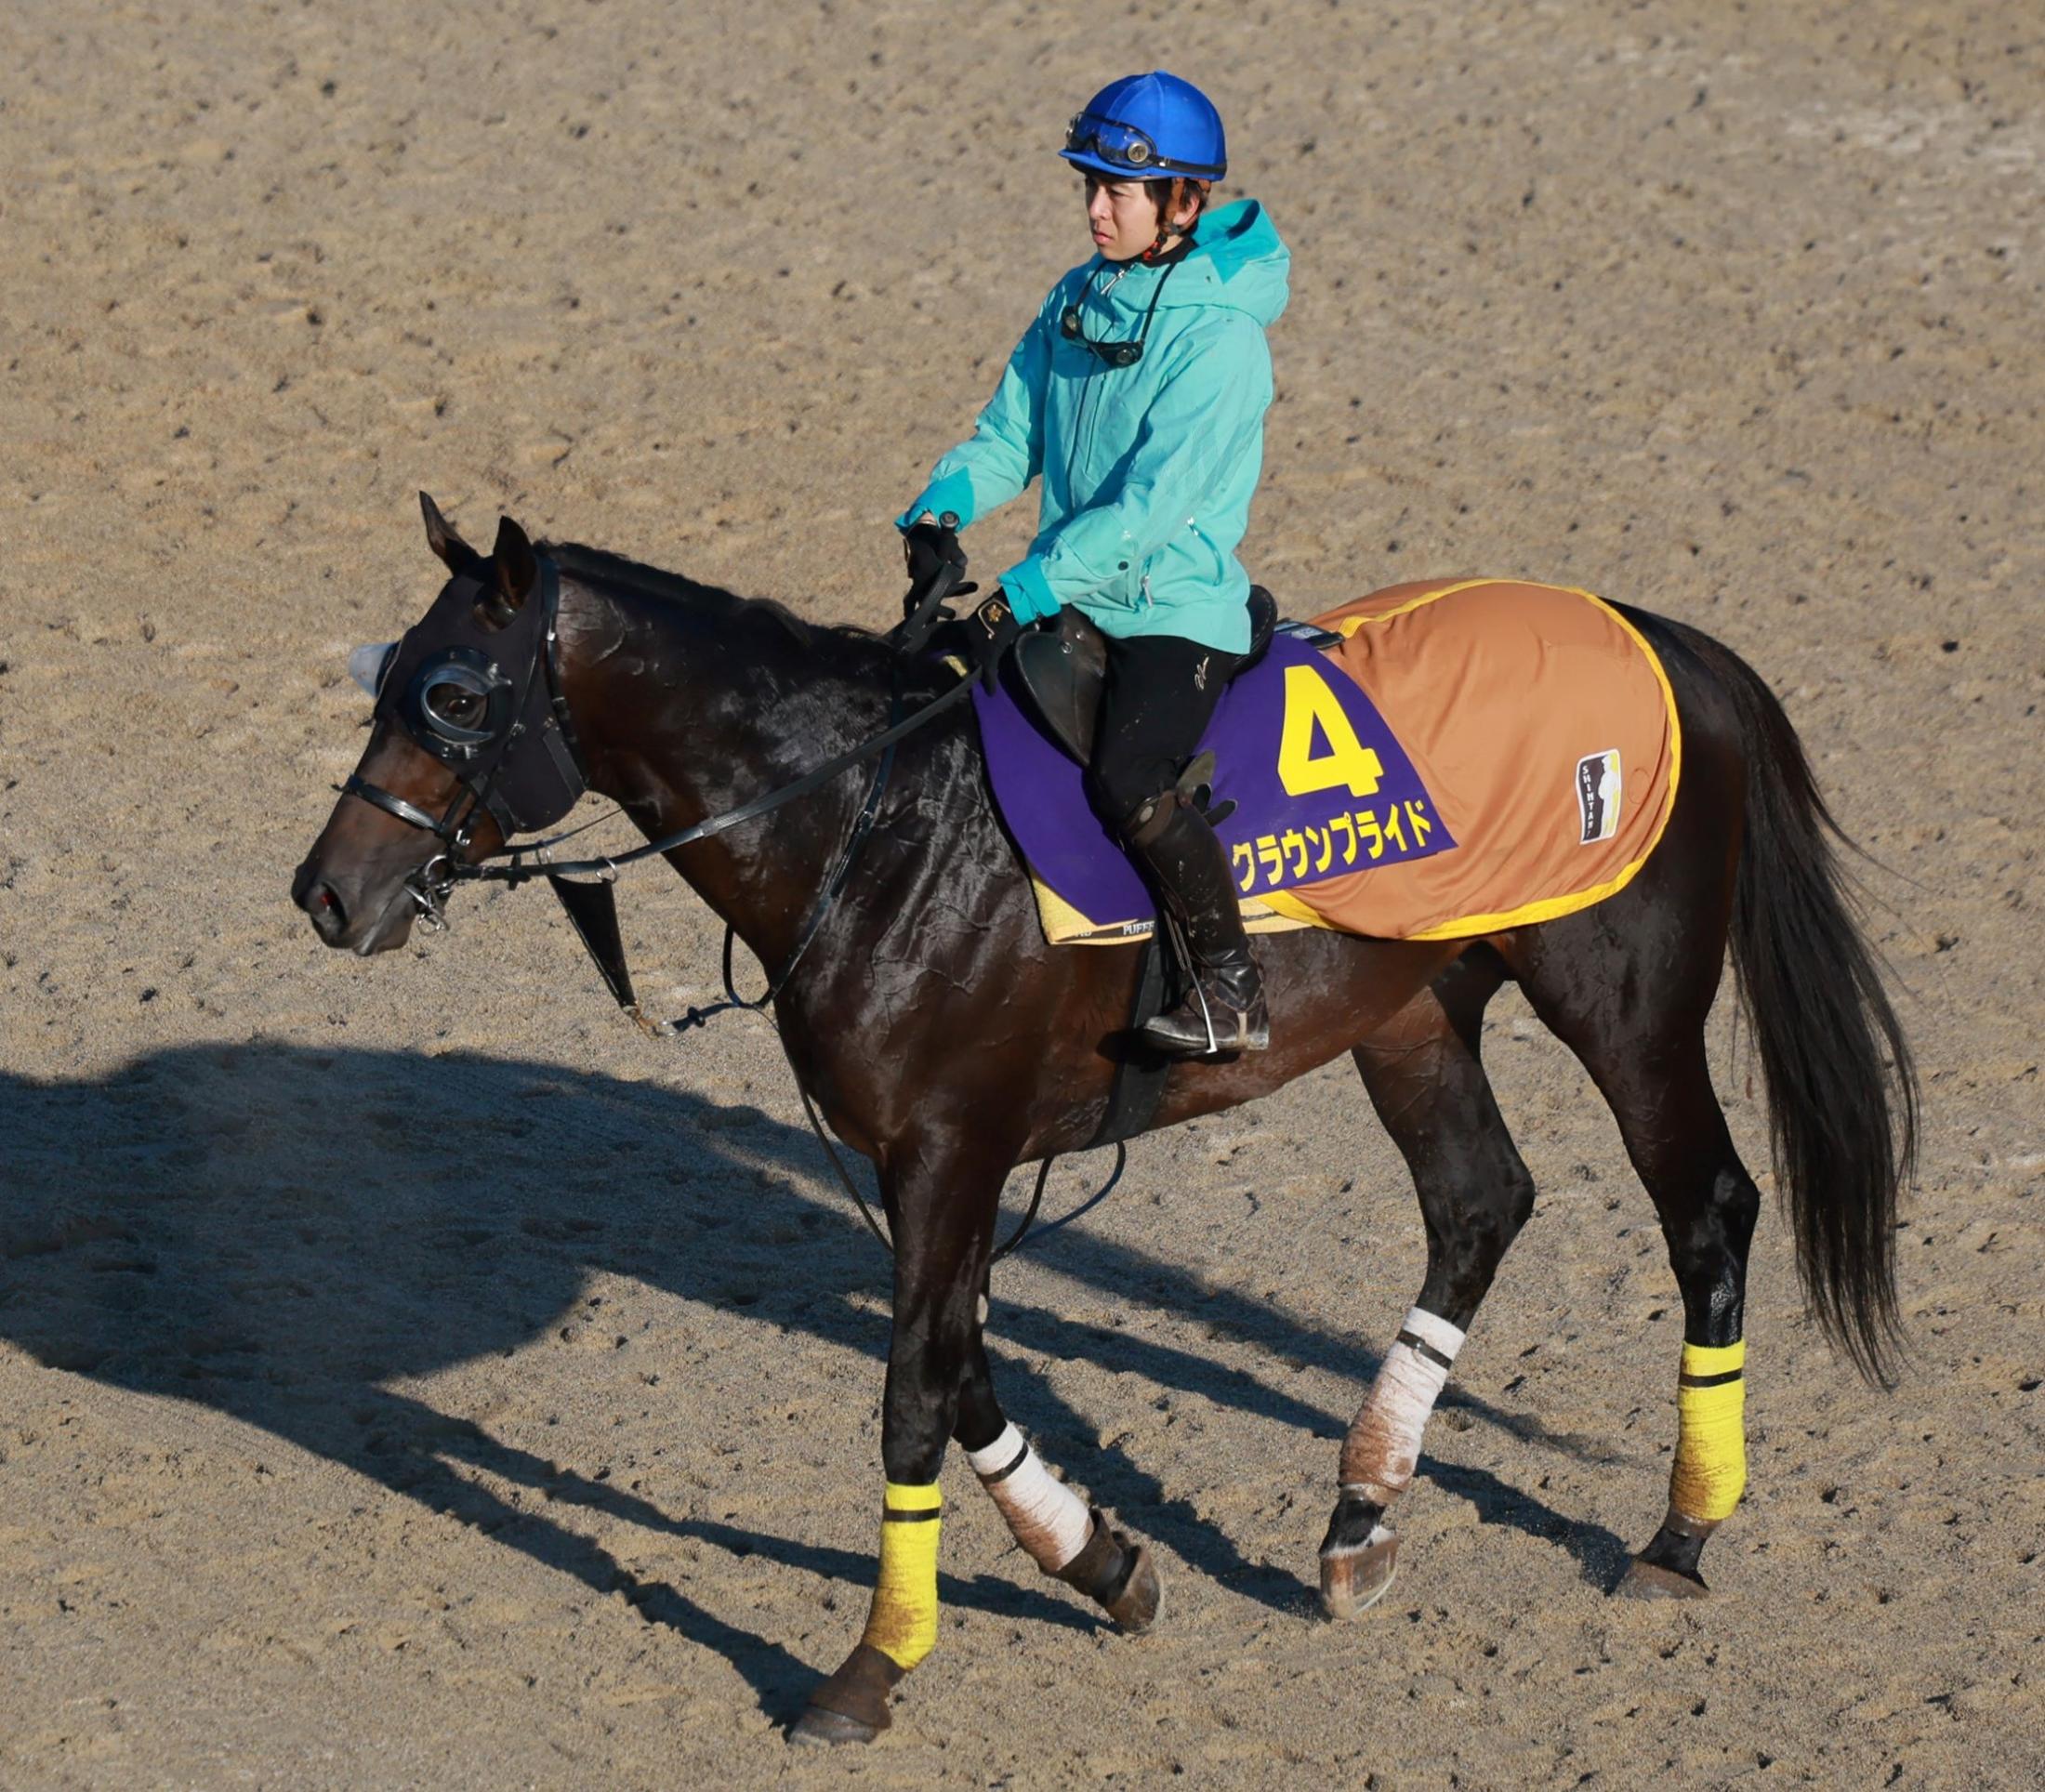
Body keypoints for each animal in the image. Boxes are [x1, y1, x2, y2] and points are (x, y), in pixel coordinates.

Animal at [292, 496, 1914, 1743]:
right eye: (390, 676)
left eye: (456, 696)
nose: (326, 894)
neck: (877, 824)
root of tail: (1660, 637)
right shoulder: (931, 1164)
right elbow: (961, 1373)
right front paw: (1108, 1564)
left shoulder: (950, 1152)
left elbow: (913, 1394)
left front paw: (871, 1668)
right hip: (1408, 1014)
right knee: (1480, 1204)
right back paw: (1359, 1518)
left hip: (1622, 1003)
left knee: (1706, 1210)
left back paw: (1679, 1536)